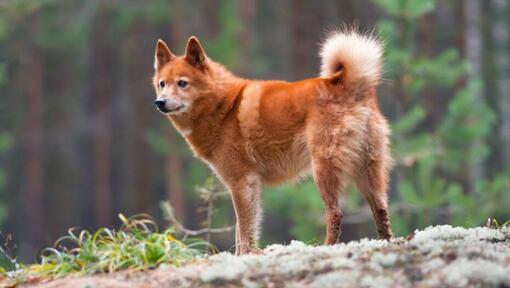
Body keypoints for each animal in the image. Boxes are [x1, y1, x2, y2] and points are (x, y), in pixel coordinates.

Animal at [153, 29, 392, 254]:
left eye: (182, 83)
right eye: (162, 84)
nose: (159, 102)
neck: (222, 106)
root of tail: (347, 84)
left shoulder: (242, 182)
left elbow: (244, 230)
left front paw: (245, 255)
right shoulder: (248, 185)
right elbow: (241, 230)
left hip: (324, 170)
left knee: (335, 213)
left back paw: (327, 246)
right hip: (367, 171)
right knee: (380, 208)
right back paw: (385, 242)